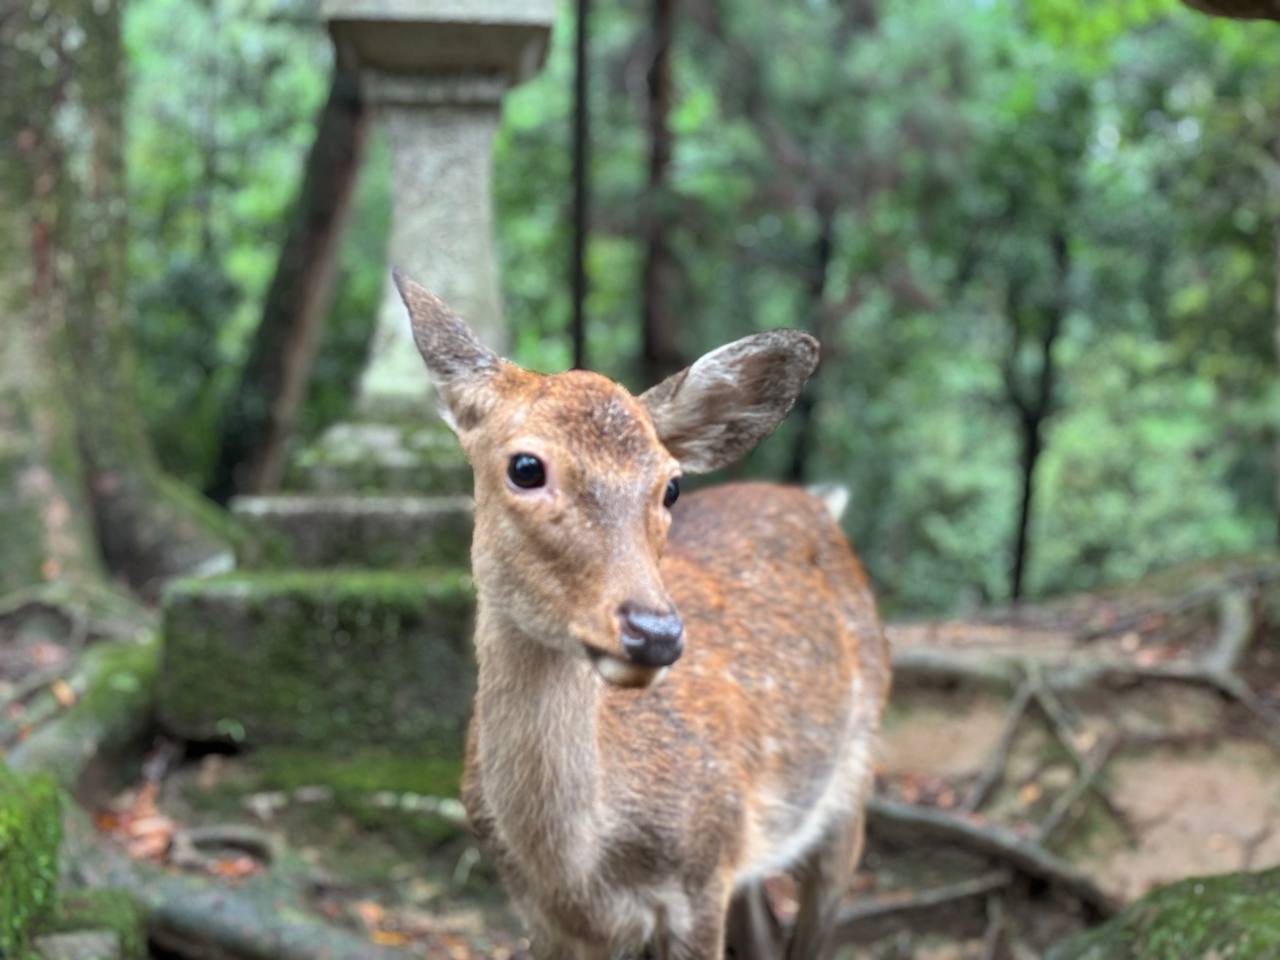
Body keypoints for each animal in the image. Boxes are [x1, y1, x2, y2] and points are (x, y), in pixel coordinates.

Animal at [396, 270, 890, 960]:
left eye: (672, 486)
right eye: (525, 466)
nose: (654, 633)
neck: (578, 872)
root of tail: (821, 505)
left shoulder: (700, 879)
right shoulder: (538, 914)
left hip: (855, 774)